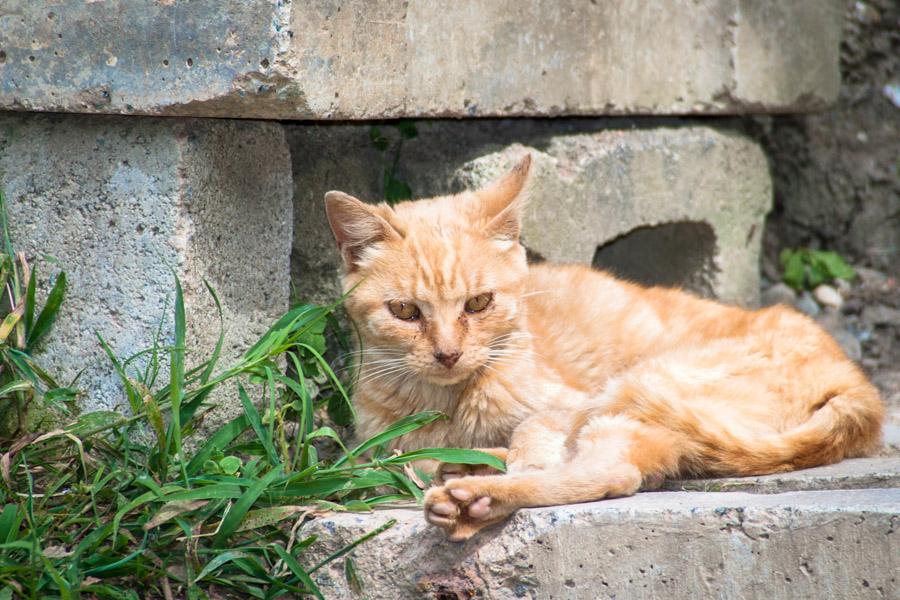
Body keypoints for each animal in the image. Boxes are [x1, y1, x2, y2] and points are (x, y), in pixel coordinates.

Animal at [326, 154, 884, 540]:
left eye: (479, 303)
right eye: (405, 312)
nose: (447, 354)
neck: (448, 403)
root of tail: (858, 385)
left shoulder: (565, 407)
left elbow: (531, 433)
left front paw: (500, 460)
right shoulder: (371, 448)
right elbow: (389, 460)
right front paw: (451, 458)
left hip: (636, 391)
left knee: (610, 473)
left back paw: (473, 497)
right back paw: (466, 471)